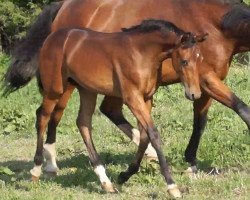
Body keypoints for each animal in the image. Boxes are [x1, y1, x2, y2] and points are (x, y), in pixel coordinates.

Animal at [31, 19, 206, 198]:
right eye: (184, 61)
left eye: (200, 59)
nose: (195, 94)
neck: (141, 53)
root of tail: (51, 38)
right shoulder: (133, 98)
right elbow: (154, 135)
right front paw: (172, 186)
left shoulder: (147, 98)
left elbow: (144, 136)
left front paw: (124, 175)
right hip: (55, 90)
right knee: (43, 117)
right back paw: (36, 170)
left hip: (87, 90)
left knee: (83, 122)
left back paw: (106, 182)